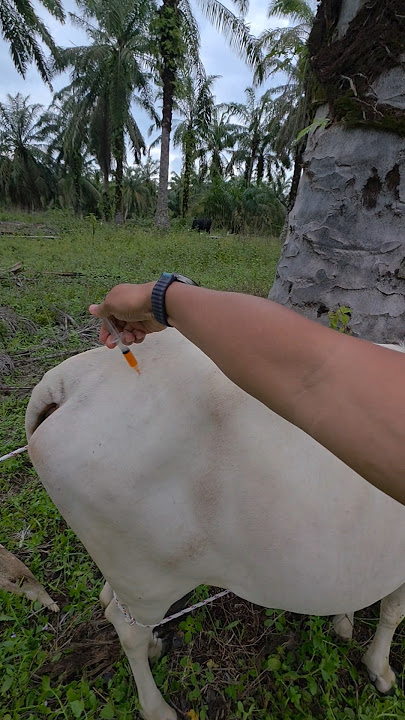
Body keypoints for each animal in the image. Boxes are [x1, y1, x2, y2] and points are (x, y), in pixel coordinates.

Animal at [25, 330, 405, 720]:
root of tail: (67, 383)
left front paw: (344, 621)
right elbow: (393, 613)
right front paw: (380, 669)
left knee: (113, 603)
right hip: (148, 578)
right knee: (125, 626)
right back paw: (156, 707)